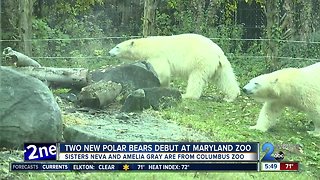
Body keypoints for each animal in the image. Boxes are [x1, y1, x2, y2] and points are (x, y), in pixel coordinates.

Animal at [107, 33, 240, 101]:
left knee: (196, 78)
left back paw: (187, 95)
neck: (148, 46)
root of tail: (218, 52)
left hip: (201, 61)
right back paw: (230, 96)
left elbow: (162, 71)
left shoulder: (158, 55)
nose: (109, 52)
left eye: (117, 47)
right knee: (224, 78)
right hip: (219, 65)